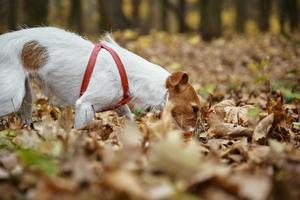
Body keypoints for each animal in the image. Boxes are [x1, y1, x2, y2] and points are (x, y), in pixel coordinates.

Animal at [0, 27, 202, 130]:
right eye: (194, 108)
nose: (198, 133)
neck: (129, 74)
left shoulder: (120, 105)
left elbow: (128, 117)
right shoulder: (84, 106)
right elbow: (79, 129)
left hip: (25, 95)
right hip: (11, 97)